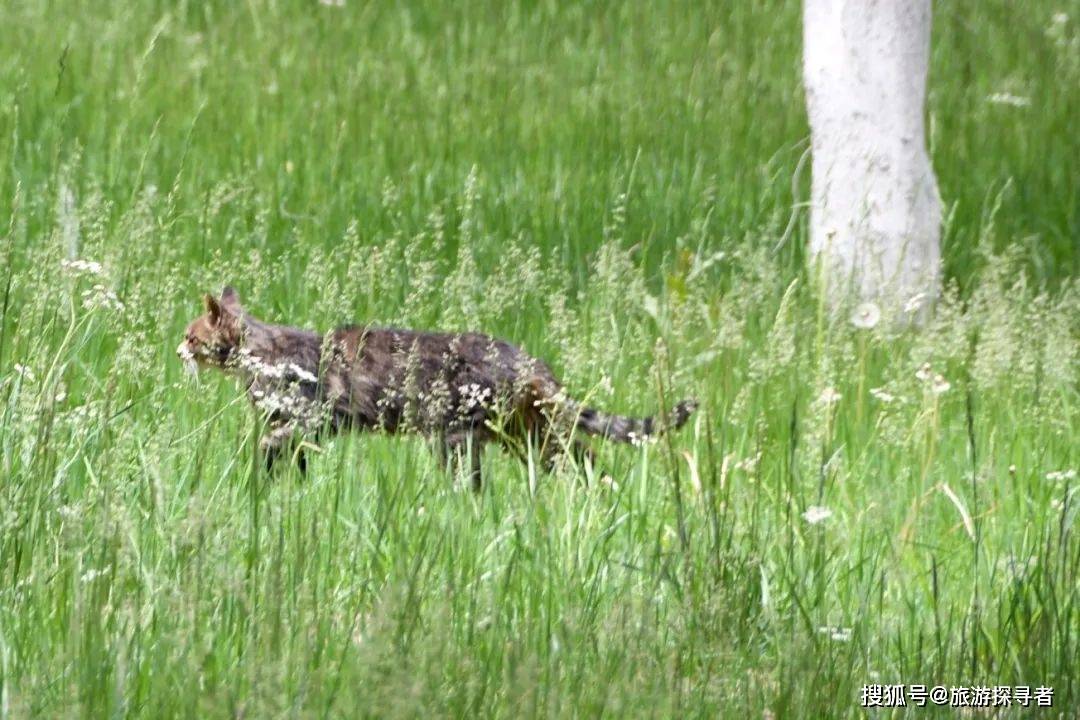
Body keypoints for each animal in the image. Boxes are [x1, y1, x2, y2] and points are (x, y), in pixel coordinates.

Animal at [176, 287, 695, 490]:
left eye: (190, 336)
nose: (177, 350)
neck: (259, 355)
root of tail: (526, 357)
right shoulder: (305, 429)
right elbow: (288, 459)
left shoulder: (320, 416)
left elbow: (271, 442)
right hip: (526, 433)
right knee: (584, 455)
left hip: (462, 436)